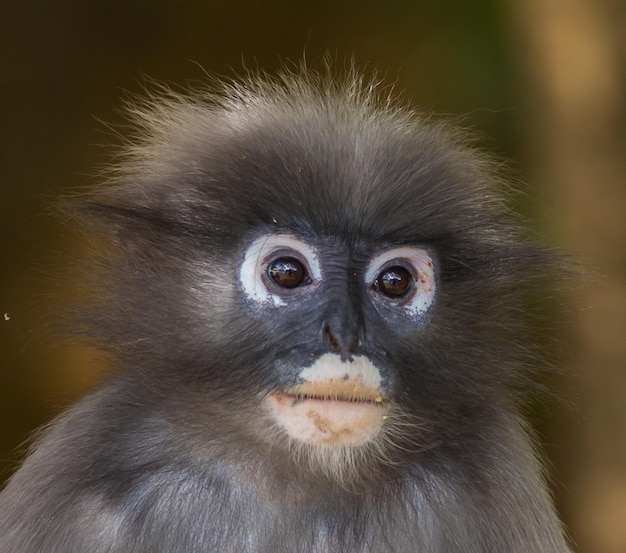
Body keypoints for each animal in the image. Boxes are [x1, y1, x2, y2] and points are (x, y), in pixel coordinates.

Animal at [0, 69, 572, 552]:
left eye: (395, 281)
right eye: (287, 272)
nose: (345, 336)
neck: (298, 476)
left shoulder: (491, 479)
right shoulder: (83, 472)